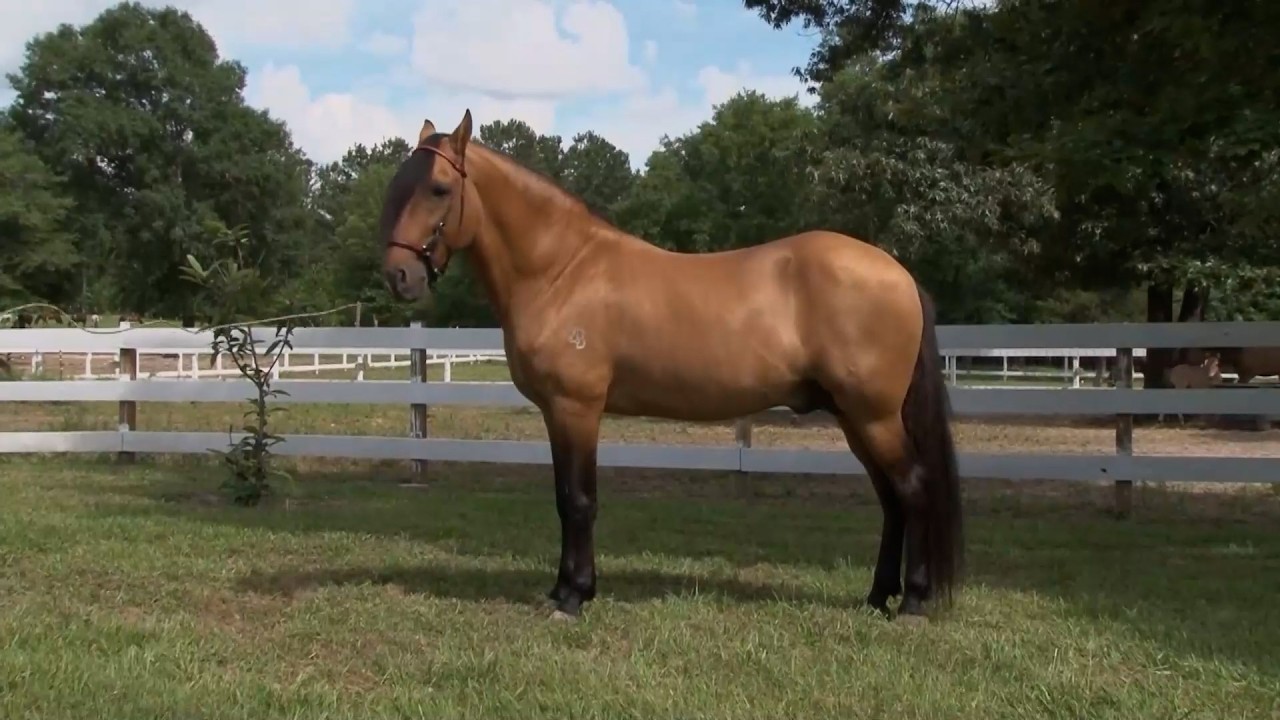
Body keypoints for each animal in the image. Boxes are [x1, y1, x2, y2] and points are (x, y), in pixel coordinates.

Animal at [378, 111, 964, 624]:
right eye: (397, 184)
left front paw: (573, 596)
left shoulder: (576, 408)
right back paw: (877, 596)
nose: (399, 276)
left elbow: (578, 500)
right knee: (891, 499)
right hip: (854, 418)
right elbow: (566, 499)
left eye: (438, 189)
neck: (562, 270)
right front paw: (565, 588)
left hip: (874, 416)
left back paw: (912, 603)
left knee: (912, 489)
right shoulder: (556, 412)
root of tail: (898, 274)